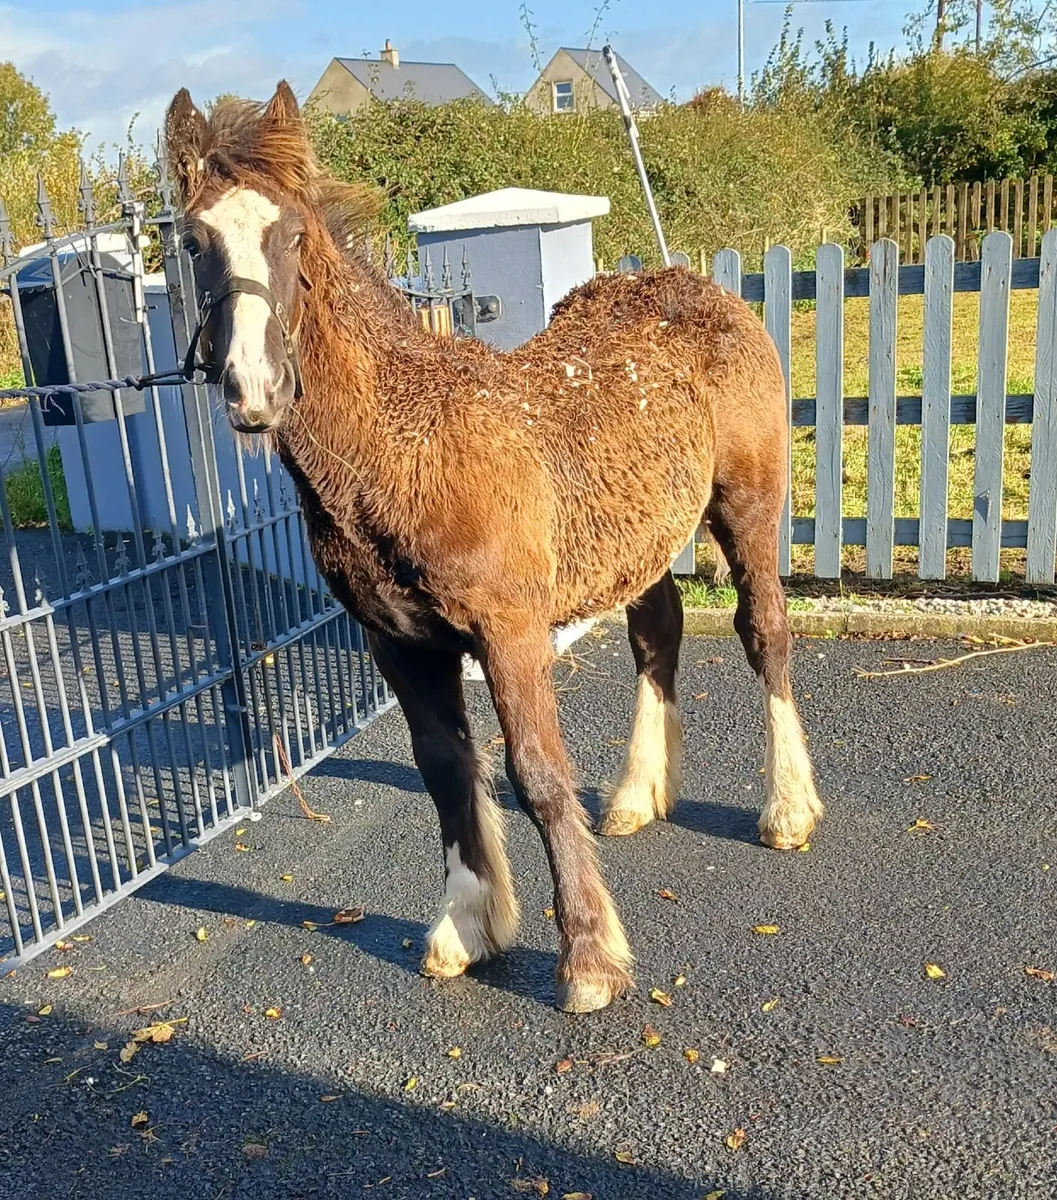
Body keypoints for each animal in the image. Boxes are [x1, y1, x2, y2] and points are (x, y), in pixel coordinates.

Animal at [164, 81, 823, 1013]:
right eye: (193, 243)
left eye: (292, 235)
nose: (254, 392)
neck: (399, 445)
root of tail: (688, 282)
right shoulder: (398, 642)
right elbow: (444, 769)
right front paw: (467, 926)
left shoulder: (509, 631)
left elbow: (536, 774)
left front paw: (588, 958)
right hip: (638, 539)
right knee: (654, 631)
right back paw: (635, 793)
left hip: (746, 505)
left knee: (764, 631)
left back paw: (788, 808)